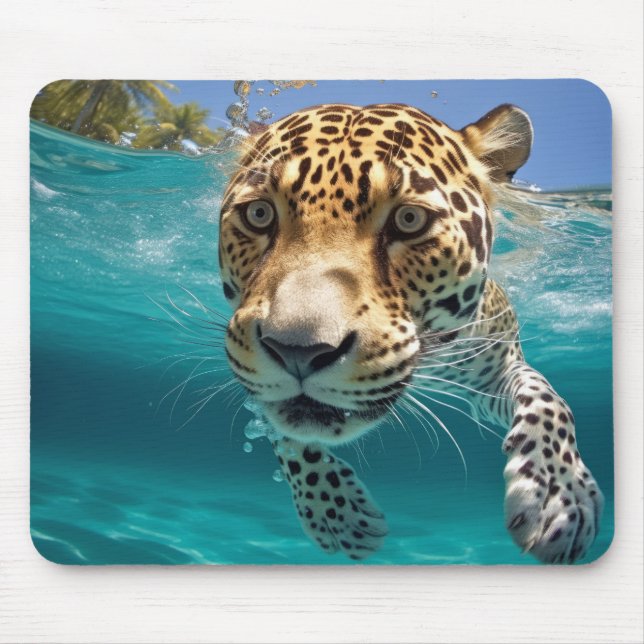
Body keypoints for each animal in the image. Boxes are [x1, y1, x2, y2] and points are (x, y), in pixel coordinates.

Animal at [217, 102, 604, 563]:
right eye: (258, 214)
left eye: (409, 219)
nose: (298, 352)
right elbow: (285, 435)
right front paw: (336, 515)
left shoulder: (497, 370)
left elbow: (548, 399)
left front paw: (559, 495)